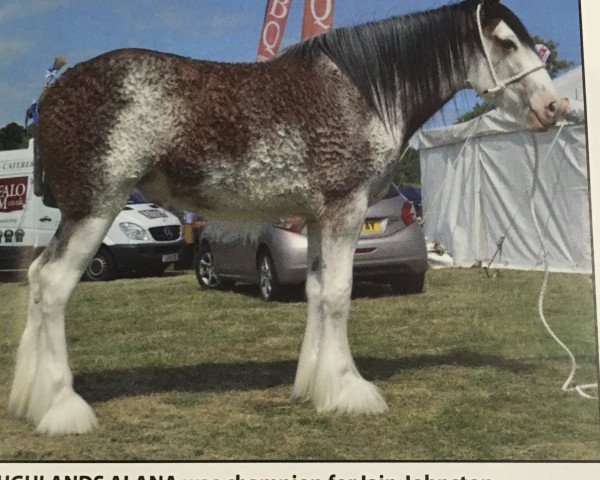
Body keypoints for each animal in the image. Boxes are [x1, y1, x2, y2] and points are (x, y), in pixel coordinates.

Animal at [8, 0, 564, 436]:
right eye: (506, 42)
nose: (553, 106)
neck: (362, 90)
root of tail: (52, 94)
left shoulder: (317, 219)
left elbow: (317, 292)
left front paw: (315, 387)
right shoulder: (343, 209)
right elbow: (339, 295)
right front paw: (351, 391)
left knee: (36, 280)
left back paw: (30, 401)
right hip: (95, 208)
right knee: (53, 285)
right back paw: (63, 409)